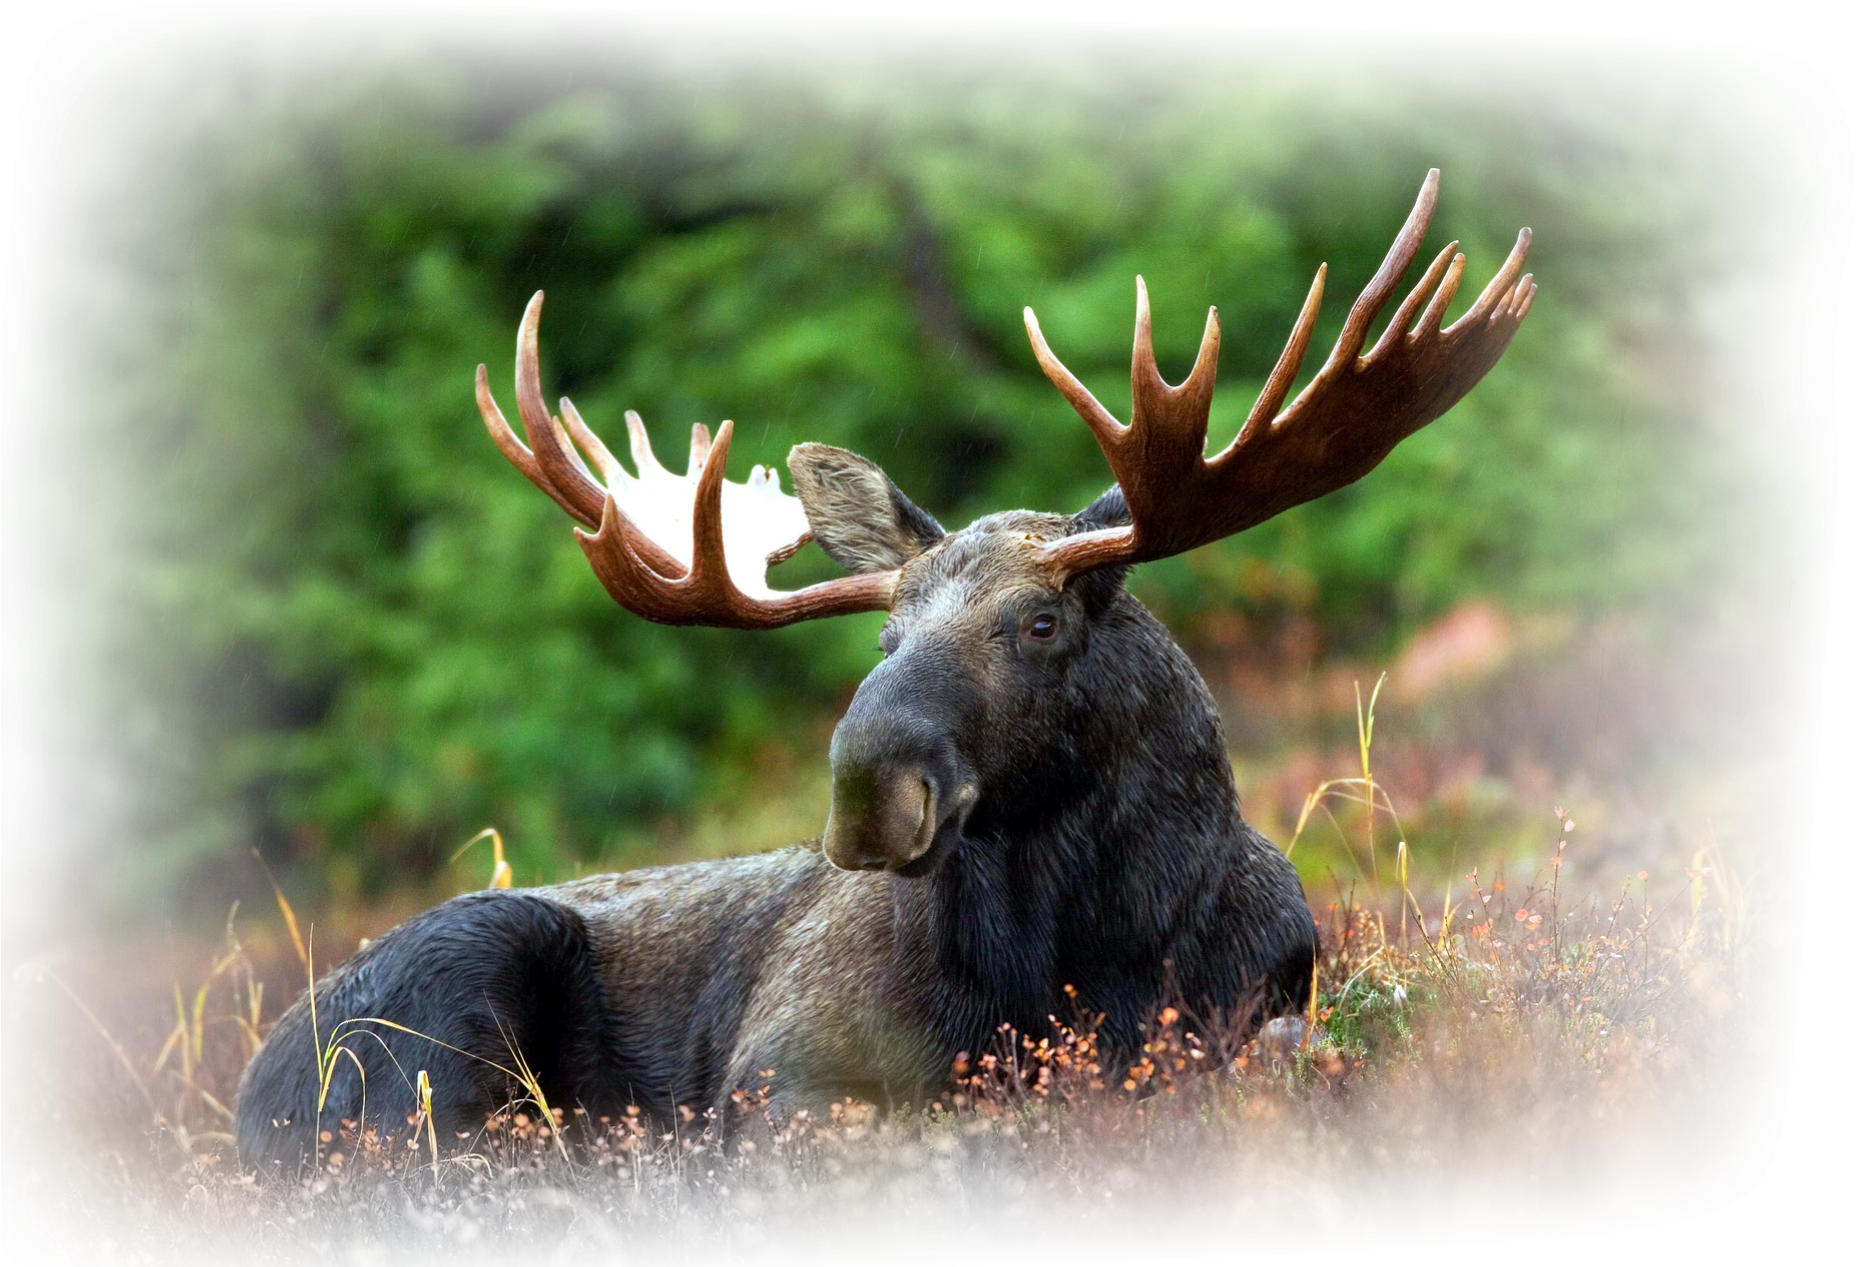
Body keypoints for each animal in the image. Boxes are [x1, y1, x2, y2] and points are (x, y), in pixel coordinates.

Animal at [235, 170, 1534, 1171]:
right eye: (883, 637)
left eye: (1039, 623)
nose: (867, 787)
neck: (1088, 955)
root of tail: (247, 1103)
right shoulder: (783, 1075)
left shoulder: (1259, 1006)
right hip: (445, 1010)